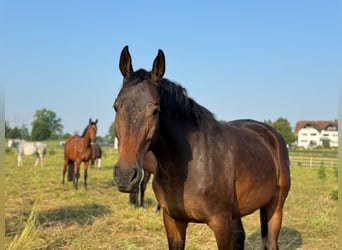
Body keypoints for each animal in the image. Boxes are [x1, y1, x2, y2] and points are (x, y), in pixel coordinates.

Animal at [113, 47, 290, 250]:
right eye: (116, 106)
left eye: (156, 110)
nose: (125, 175)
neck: (188, 167)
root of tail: (271, 134)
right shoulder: (173, 221)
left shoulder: (221, 224)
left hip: (276, 207)